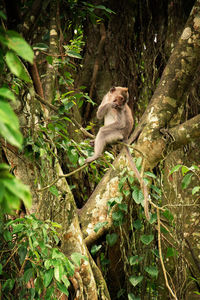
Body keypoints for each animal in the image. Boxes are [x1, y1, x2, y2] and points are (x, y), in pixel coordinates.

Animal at [85, 86, 149, 220]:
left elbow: (120, 123)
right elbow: (99, 114)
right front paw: (109, 105)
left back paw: (96, 155)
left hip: (116, 134)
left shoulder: (119, 111)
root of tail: (125, 137)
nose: (120, 104)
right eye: (120, 98)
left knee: (103, 131)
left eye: (124, 100)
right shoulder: (105, 99)